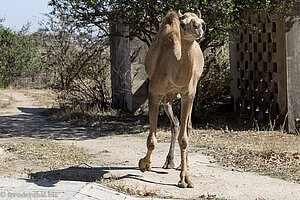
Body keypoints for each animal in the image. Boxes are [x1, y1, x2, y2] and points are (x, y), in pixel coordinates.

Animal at [139, 9, 206, 188]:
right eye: (182, 24)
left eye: (203, 23)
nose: (198, 28)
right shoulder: (155, 93)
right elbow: (152, 139)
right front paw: (144, 164)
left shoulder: (188, 95)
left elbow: (184, 138)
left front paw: (185, 179)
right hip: (166, 98)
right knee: (175, 123)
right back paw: (169, 162)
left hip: (190, 94)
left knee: (187, 126)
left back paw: (184, 163)